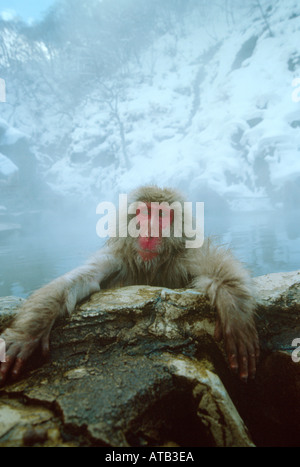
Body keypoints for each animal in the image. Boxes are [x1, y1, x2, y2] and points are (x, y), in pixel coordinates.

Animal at [0, 185, 258, 386]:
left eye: (162, 215)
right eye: (145, 212)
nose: (150, 229)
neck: (149, 267)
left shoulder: (184, 257)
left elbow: (214, 268)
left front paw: (233, 310)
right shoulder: (115, 260)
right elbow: (75, 282)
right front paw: (26, 334)